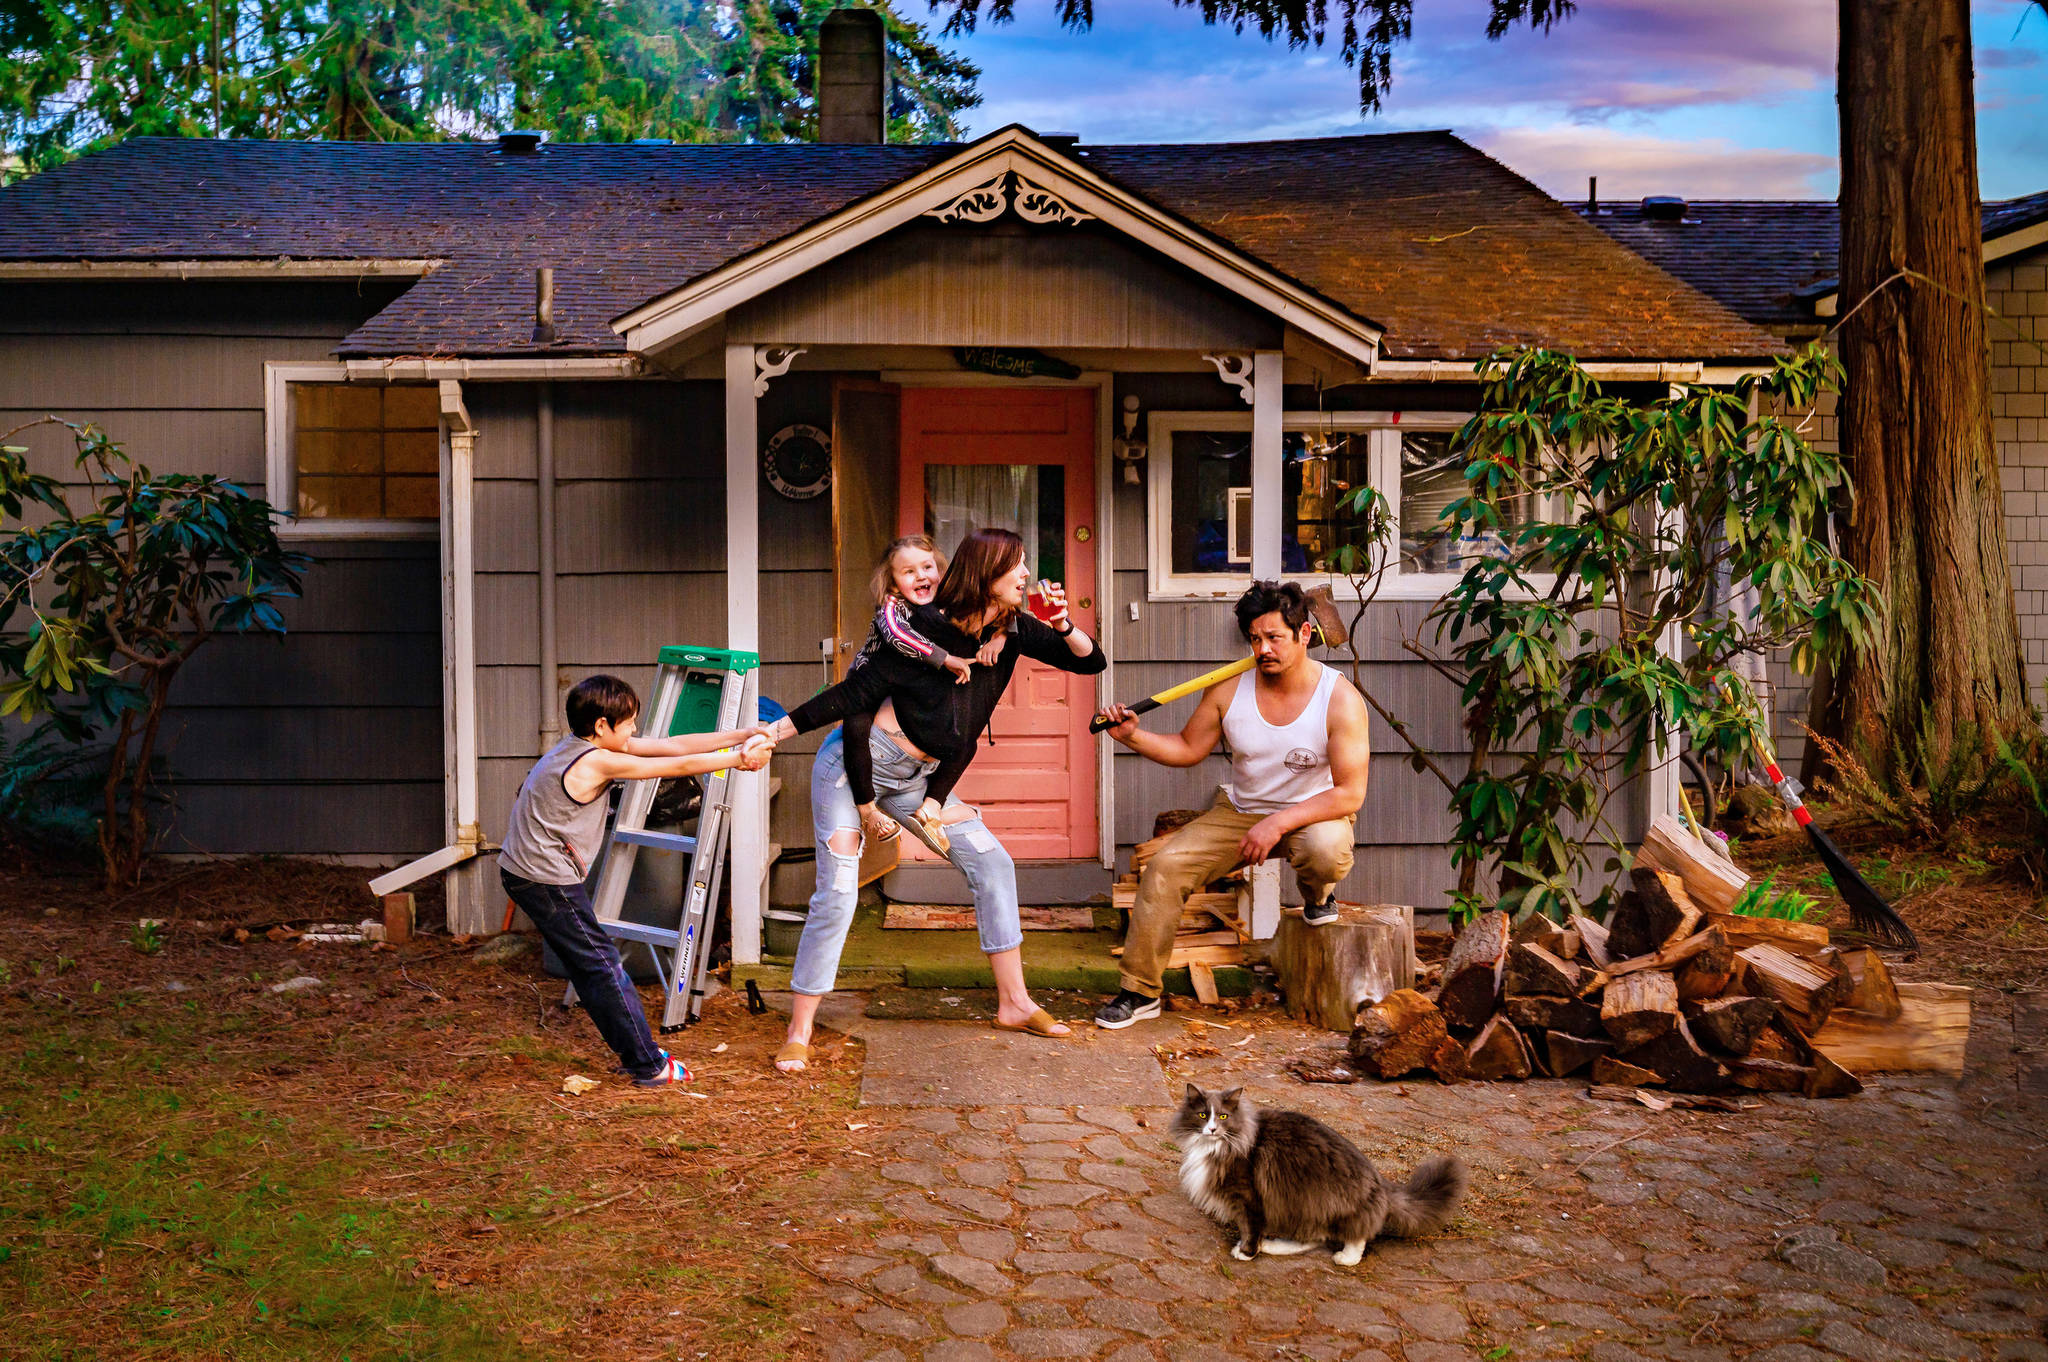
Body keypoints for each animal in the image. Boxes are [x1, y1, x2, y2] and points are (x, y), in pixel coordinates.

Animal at [1171, 1081, 1474, 1261]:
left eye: (1223, 1116)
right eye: (1203, 1115)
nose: (1212, 1129)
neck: (1219, 1146)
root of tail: (1379, 1183)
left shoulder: (1249, 1197)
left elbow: (1251, 1228)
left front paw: (1247, 1253)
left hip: (1318, 1202)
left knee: (1353, 1236)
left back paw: (1344, 1258)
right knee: (1315, 1238)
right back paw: (1275, 1245)